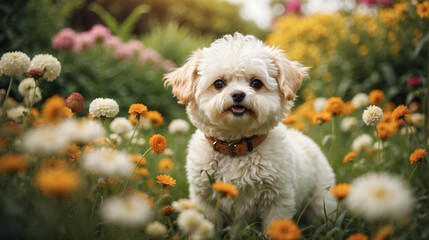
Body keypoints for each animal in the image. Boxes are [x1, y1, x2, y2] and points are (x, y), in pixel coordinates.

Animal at [164, 33, 334, 229]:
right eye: (219, 83)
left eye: (256, 83)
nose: (238, 94)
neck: (236, 146)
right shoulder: (204, 199)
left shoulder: (278, 199)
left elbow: (275, 227)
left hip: (320, 202)